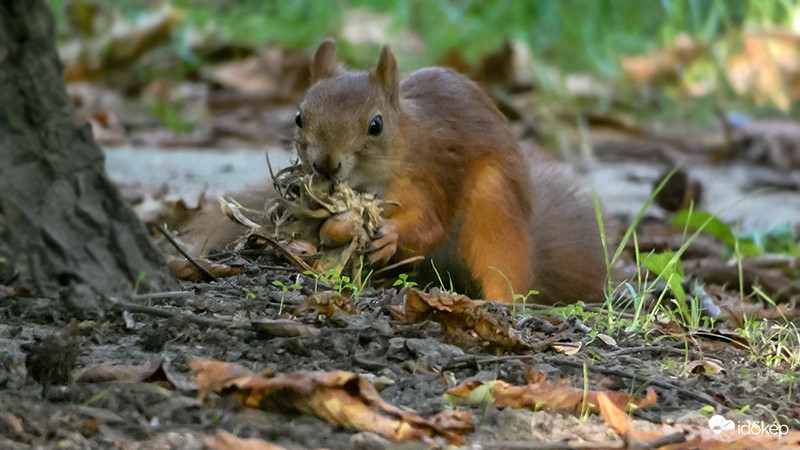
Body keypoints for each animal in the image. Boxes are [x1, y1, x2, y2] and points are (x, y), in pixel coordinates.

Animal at [288, 40, 608, 304]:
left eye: (376, 125)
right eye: (299, 117)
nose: (325, 164)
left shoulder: (430, 175)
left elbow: (431, 226)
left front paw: (391, 234)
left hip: (494, 204)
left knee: (502, 262)